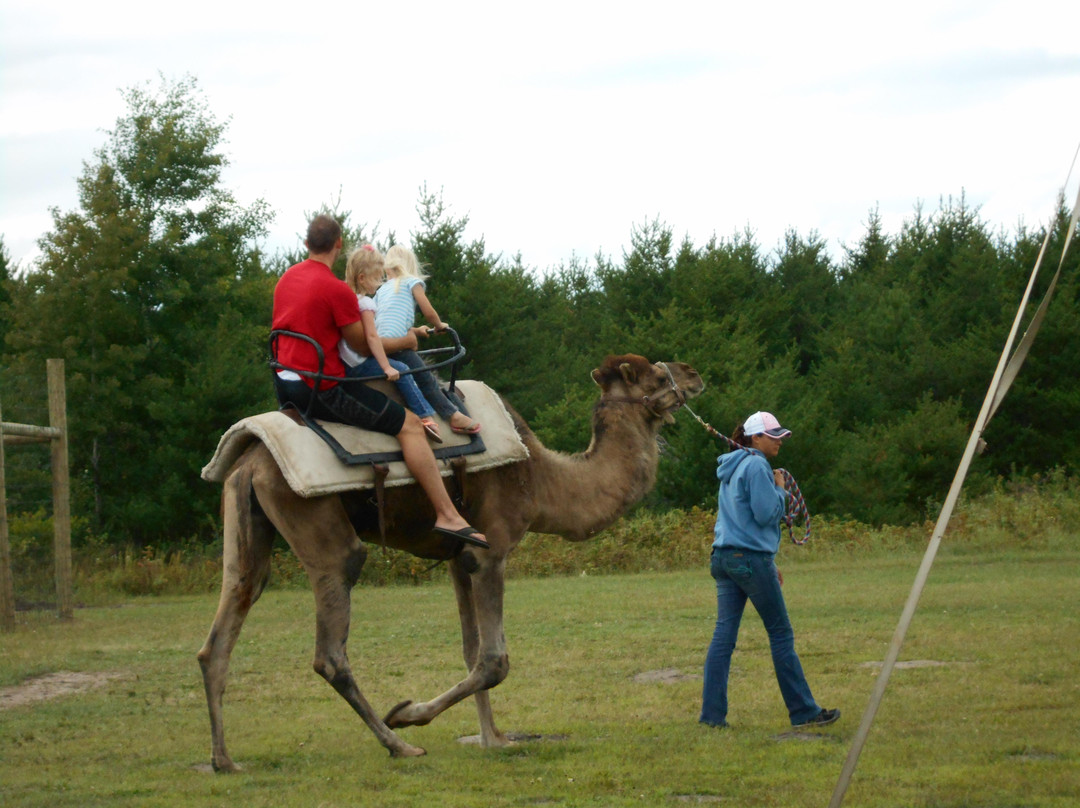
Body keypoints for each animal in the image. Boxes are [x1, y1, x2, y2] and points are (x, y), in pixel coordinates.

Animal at [196, 354, 699, 769]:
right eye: (658, 376)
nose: (693, 374)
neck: (541, 479)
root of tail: (252, 459)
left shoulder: (460, 556)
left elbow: (471, 651)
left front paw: (493, 738)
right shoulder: (491, 549)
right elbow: (495, 660)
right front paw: (406, 713)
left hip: (248, 521)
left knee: (227, 618)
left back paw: (224, 760)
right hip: (317, 523)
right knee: (331, 645)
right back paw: (397, 744)